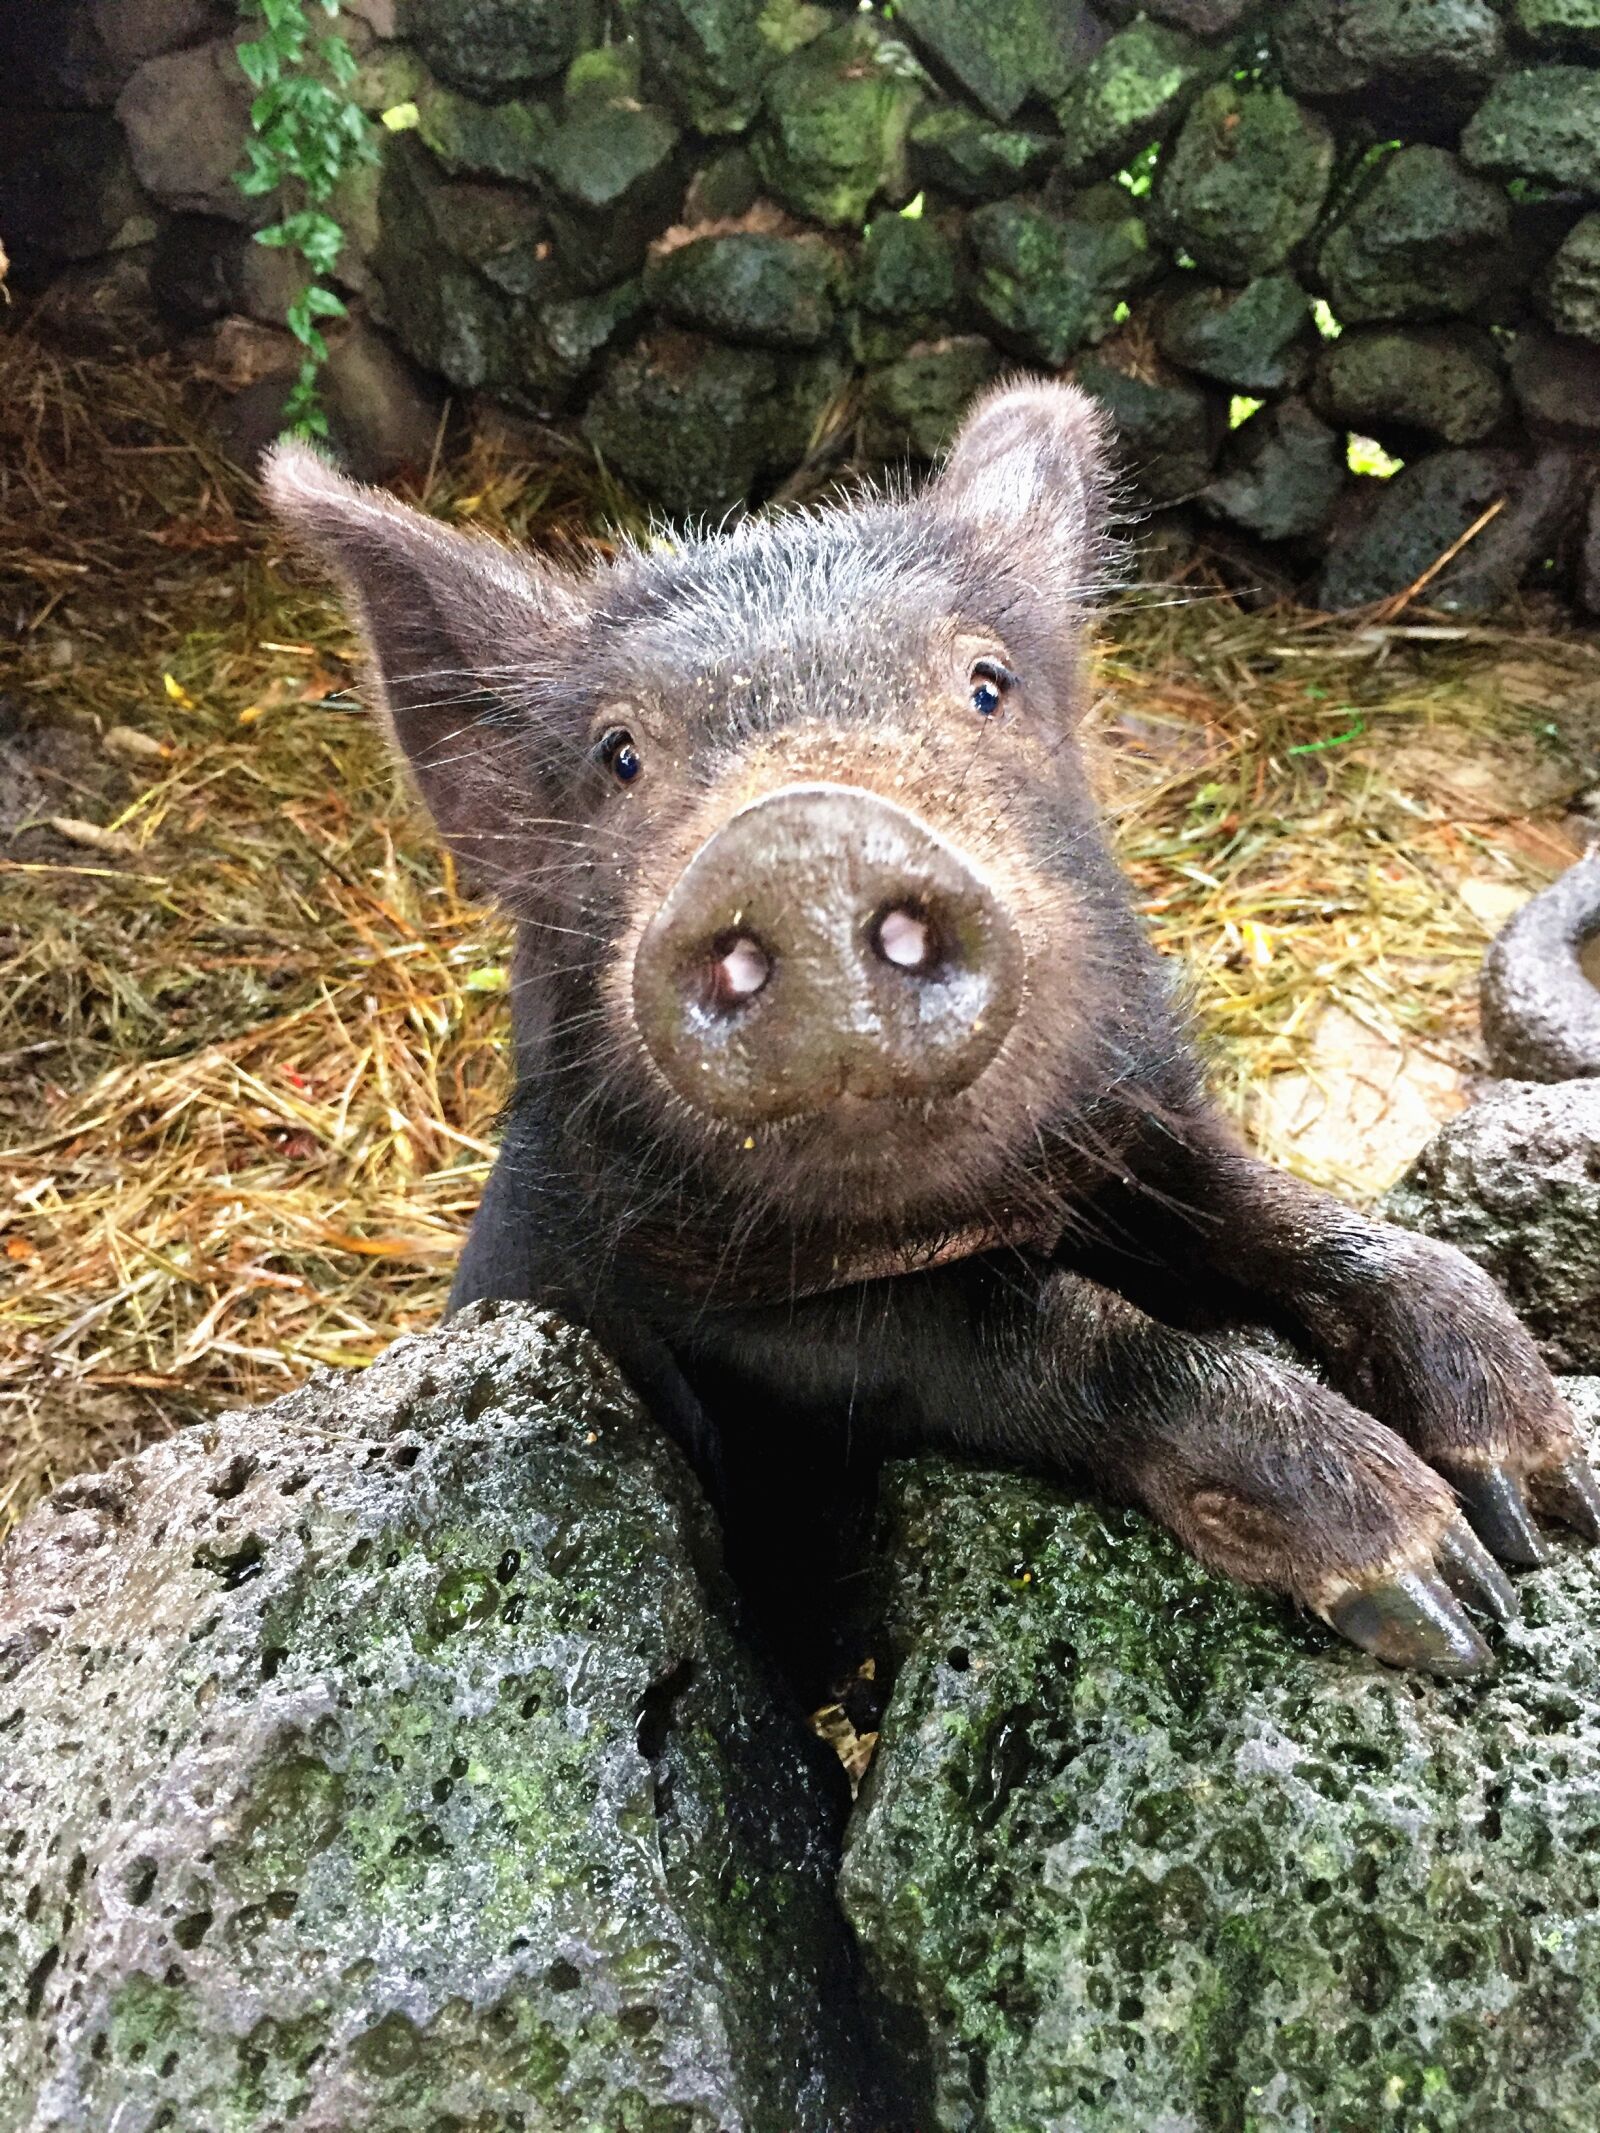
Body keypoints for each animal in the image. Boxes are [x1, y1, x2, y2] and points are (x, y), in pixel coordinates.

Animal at [266, 381, 1600, 1679]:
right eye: (620, 753)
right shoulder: (707, 1315)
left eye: (985, 684)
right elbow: (1023, 1328)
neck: (961, 1210)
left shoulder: (1137, 1120)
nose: (804, 839)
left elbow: (1300, 1220)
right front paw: (1447, 1600)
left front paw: (1543, 1504)